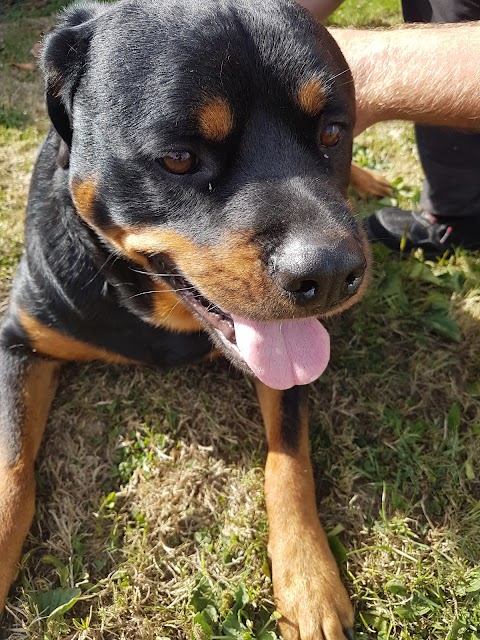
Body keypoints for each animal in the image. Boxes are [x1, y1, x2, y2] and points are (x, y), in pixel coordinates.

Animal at [0, 2, 386, 636]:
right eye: (179, 158)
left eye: (333, 133)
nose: (331, 273)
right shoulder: (19, 341)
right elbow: (11, 472)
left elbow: (289, 462)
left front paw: (309, 582)